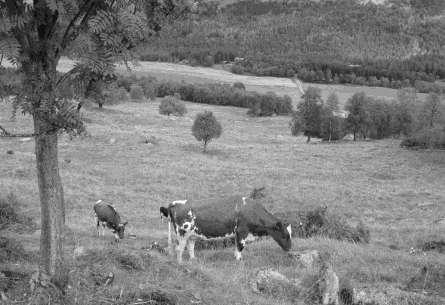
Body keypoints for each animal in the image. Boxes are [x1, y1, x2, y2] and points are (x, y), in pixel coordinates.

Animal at [160, 196, 292, 262]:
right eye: (285, 235)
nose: (290, 248)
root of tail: (174, 203)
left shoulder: (237, 234)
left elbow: (236, 247)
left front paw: (236, 258)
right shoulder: (242, 232)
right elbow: (240, 247)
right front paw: (239, 261)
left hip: (191, 234)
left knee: (190, 247)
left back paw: (193, 260)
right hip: (182, 233)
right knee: (179, 249)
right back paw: (180, 263)